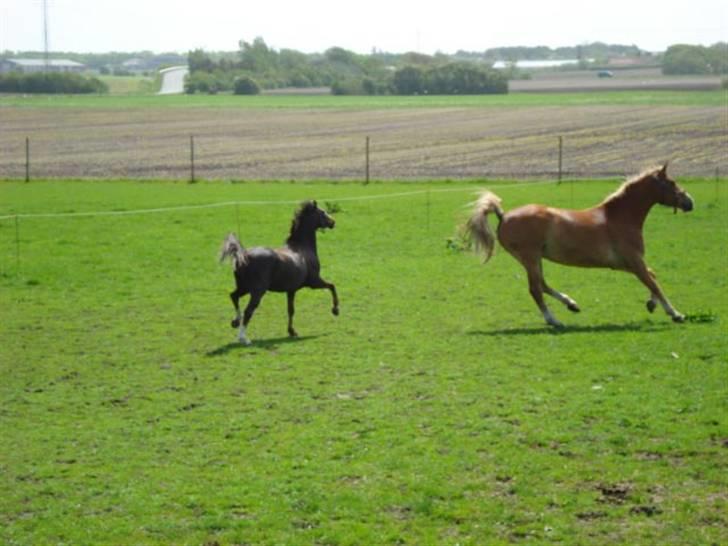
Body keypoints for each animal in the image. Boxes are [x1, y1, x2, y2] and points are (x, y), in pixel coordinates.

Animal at [218, 200, 340, 344]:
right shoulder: (314, 282)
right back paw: (244, 338)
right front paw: (335, 310)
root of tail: (243, 256)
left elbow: (291, 310)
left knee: (233, 296)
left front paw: (292, 332)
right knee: (248, 310)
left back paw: (236, 321)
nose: (333, 222)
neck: (302, 249)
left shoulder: (291, 290)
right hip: (257, 291)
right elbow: (332, 286)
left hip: (244, 287)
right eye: (322, 212)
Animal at [466, 164, 692, 326]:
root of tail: (503, 215)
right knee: (536, 289)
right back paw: (554, 320)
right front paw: (676, 314)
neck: (619, 218)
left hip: (533, 259)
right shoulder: (634, 261)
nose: (690, 202)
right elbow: (654, 283)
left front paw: (652, 304)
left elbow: (652, 276)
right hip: (530, 257)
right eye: (671, 183)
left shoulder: (624, 264)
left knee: (543, 285)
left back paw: (571, 304)